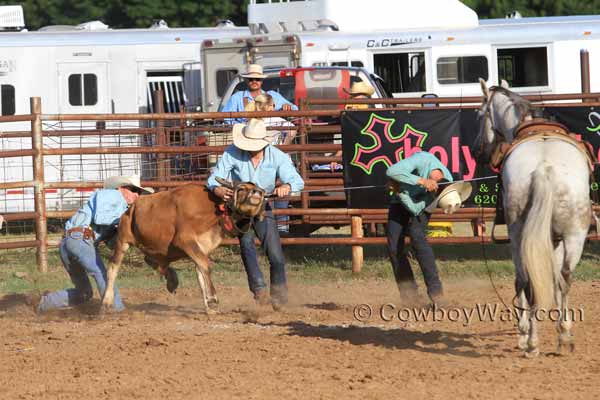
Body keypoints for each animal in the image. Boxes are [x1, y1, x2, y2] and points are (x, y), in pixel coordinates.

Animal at [476, 79, 592, 356]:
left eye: (479, 114)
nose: (476, 151)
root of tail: (544, 168)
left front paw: (523, 331)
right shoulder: (554, 239)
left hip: (521, 236)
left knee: (527, 279)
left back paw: (533, 341)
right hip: (574, 235)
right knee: (564, 277)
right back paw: (562, 337)